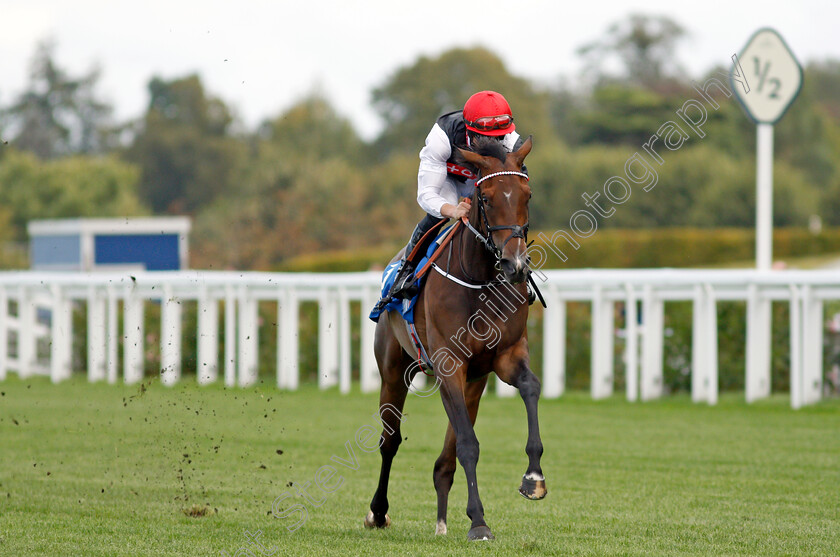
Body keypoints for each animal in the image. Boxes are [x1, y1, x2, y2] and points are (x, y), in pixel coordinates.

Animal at [366, 135, 548, 540]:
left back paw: (441, 520)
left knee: (444, 459)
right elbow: (468, 445)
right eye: (487, 198)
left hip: (473, 382)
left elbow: (530, 387)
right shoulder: (449, 364)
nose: (515, 266)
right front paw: (479, 522)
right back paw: (378, 512)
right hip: (394, 369)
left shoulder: (505, 356)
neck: (479, 280)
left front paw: (533, 478)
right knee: (390, 441)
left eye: (527, 195)